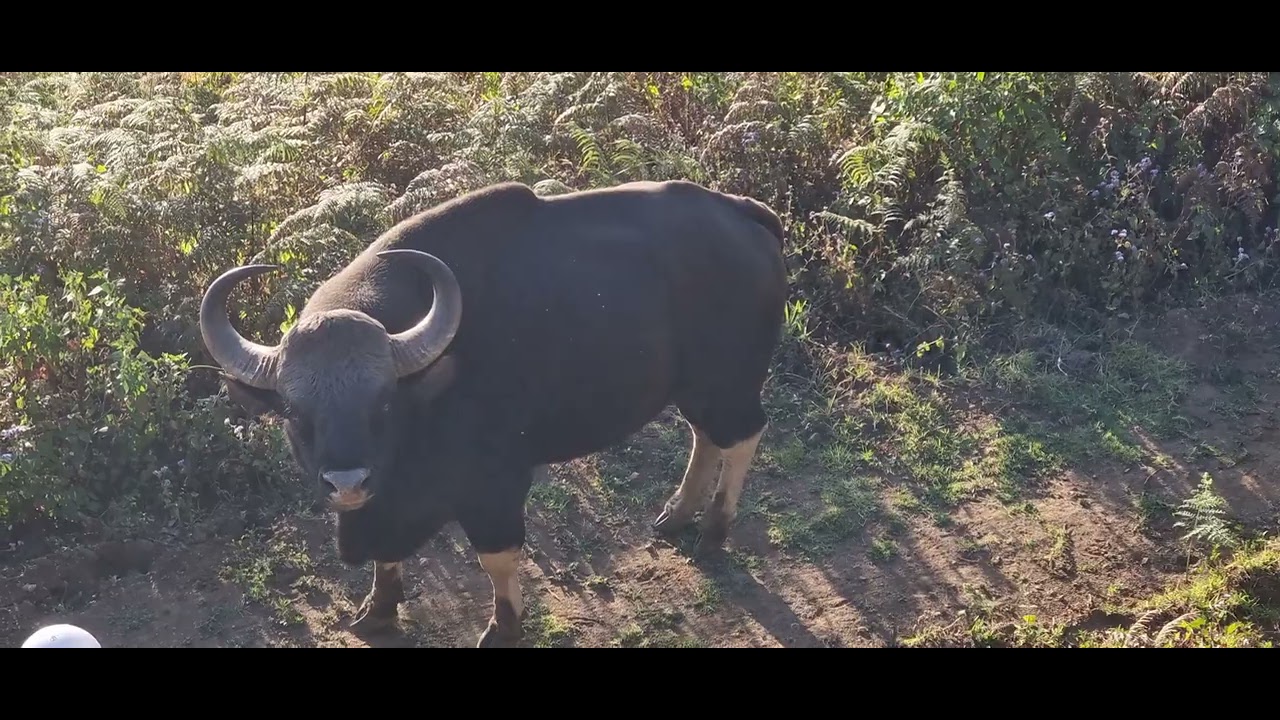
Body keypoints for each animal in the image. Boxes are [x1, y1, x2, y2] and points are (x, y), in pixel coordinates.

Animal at [200, 179, 788, 647]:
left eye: (384, 402)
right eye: (294, 413)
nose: (346, 482)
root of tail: (743, 211)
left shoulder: (496, 486)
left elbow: (496, 559)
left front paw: (503, 628)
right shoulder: (387, 499)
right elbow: (386, 554)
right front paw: (379, 608)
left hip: (731, 381)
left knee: (742, 436)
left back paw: (713, 530)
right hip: (695, 388)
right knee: (704, 435)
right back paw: (678, 513)